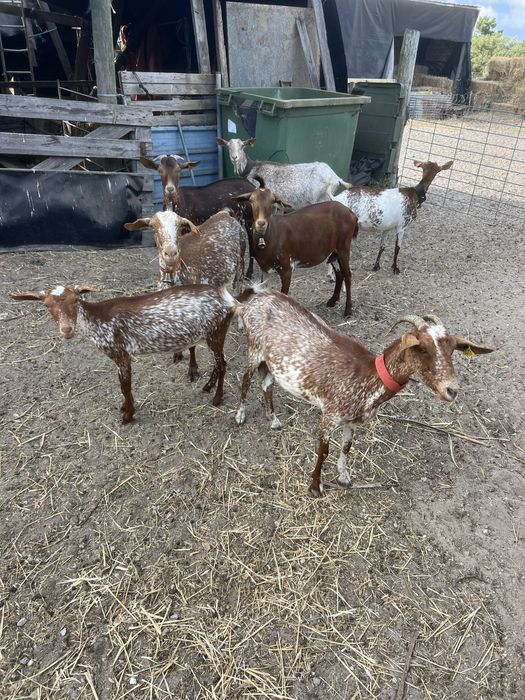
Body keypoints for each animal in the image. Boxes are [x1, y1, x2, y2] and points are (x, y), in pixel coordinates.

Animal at [10, 284, 244, 423]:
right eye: (46, 305)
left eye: (75, 300)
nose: (67, 329)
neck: (96, 320)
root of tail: (231, 301)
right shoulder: (118, 358)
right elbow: (122, 386)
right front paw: (125, 407)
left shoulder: (121, 354)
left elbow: (125, 385)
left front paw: (128, 415)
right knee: (218, 363)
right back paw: (207, 387)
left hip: (216, 332)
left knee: (222, 364)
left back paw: (217, 398)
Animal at [217, 137, 352, 209]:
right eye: (228, 146)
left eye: (243, 146)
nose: (234, 157)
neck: (251, 169)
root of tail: (335, 178)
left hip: (320, 199)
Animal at [234, 291, 493, 496]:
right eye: (421, 348)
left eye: (452, 350)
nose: (452, 390)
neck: (367, 378)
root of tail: (249, 303)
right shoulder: (329, 416)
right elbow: (324, 451)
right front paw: (315, 487)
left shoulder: (352, 421)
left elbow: (347, 447)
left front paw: (344, 477)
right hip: (253, 349)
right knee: (246, 380)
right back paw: (240, 415)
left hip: (271, 363)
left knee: (266, 384)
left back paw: (274, 420)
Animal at [235, 186, 358, 316]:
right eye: (251, 200)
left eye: (272, 201)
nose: (261, 223)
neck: (271, 235)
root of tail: (351, 213)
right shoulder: (265, 269)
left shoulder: (287, 268)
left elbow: (283, 294)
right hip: (333, 252)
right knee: (340, 274)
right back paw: (332, 301)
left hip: (344, 247)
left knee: (348, 275)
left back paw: (348, 310)